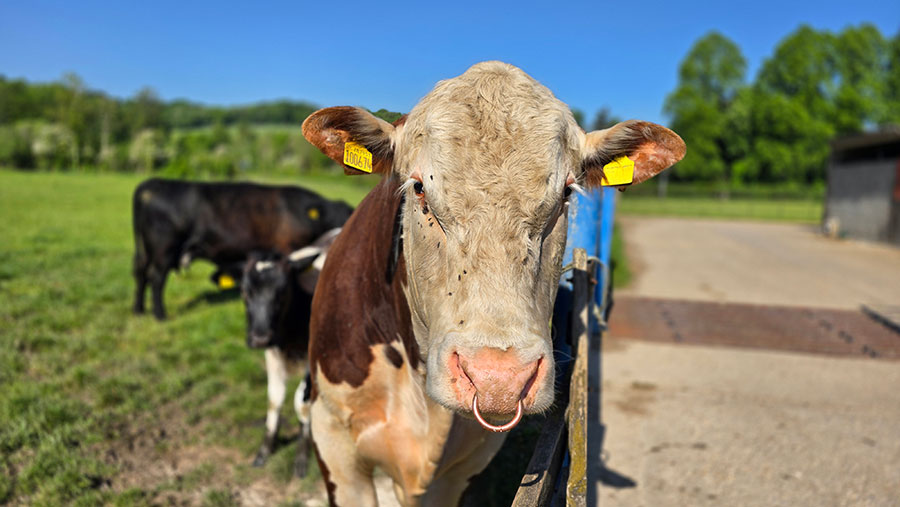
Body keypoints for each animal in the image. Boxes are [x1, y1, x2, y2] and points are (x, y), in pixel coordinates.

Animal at [131, 178, 353, 320]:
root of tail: (153, 183)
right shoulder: (289, 248)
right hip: (163, 251)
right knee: (156, 279)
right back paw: (160, 315)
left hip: (145, 251)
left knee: (140, 273)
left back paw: (139, 310)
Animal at [240, 228, 341, 477]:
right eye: (245, 291)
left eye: (283, 291)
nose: (260, 337)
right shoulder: (273, 354)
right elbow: (274, 399)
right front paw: (266, 448)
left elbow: (301, 403)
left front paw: (303, 454)